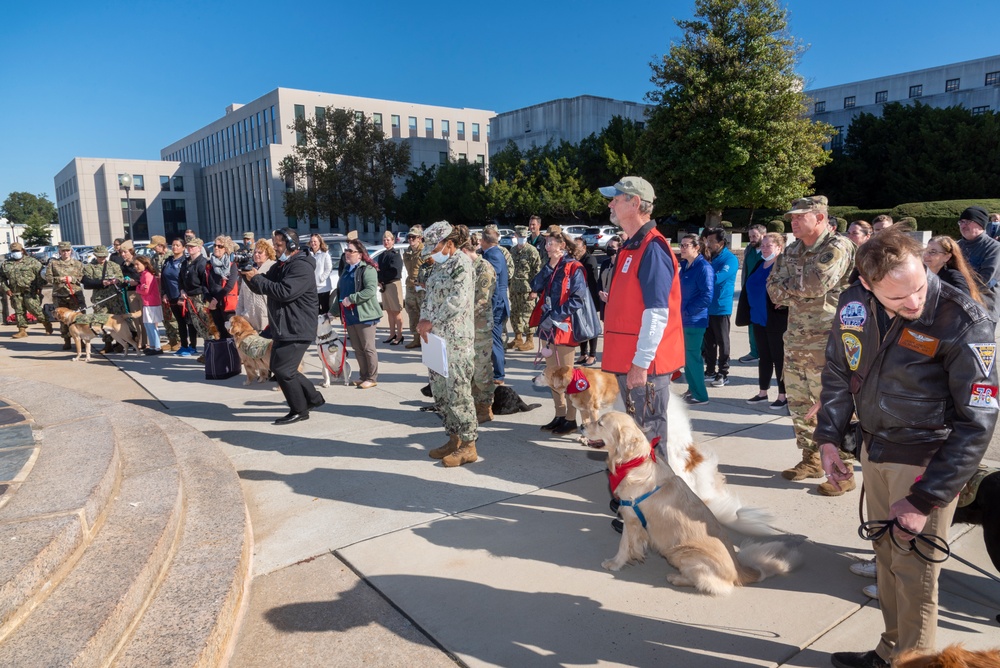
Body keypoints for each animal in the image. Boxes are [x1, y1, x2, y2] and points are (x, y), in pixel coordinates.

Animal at [584, 412, 800, 596]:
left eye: (600, 423)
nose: (582, 425)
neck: (635, 462)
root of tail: (738, 570)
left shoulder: (631, 519)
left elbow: (623, 545)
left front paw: (614, 563)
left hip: (682, 553)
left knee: (714, 586)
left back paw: (676, 578)